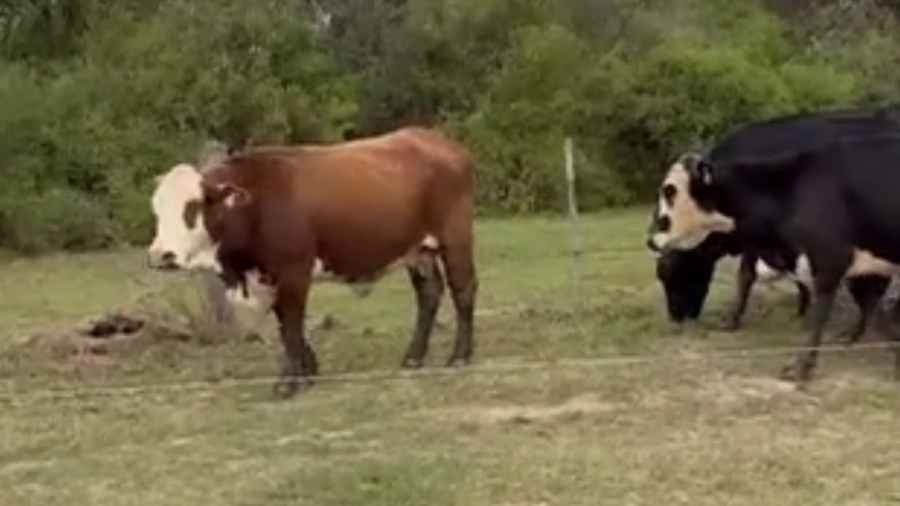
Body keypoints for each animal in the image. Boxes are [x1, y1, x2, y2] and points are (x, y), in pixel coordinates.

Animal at [146, 126, 478, 398]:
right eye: (157, 209)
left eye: (192, 207)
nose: (160, 255)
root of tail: (434, 139)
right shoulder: (268, 277)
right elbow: (284, 324)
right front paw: (307, 371)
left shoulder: (293, 271)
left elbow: (291, 326)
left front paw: (289, 382)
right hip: (418, 251)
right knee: (429, 294)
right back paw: (413, 357)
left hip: (454, 237)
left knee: (463, 290)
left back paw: (460, 356)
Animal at [647, 132, 900, 384]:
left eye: (669, 191)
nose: (650, 240)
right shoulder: (862, 269)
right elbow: (873, 308)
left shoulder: (829, 260)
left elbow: (820, 314)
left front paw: (800, 366)